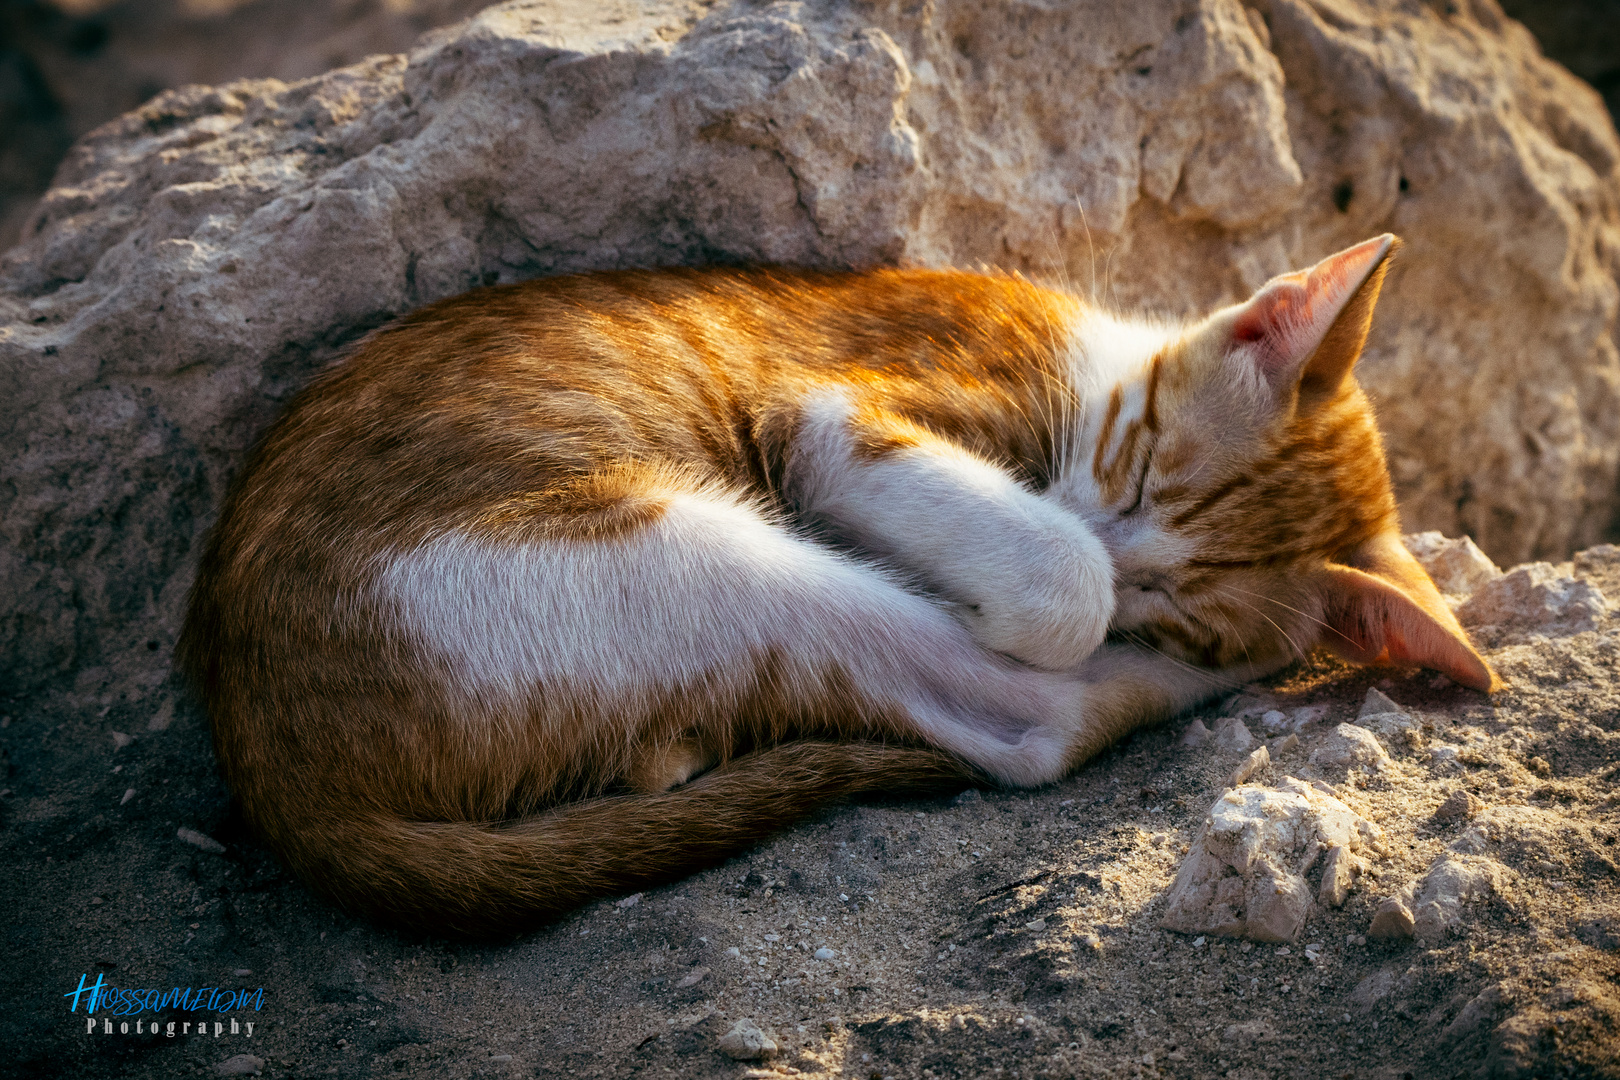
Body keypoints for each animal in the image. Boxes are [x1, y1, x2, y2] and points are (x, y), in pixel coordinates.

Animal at [174, 229, 1490, 939]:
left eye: (1183, 605)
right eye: (1130, 469)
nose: (1129, 577)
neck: (1085, 379)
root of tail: (271, 773)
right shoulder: (824, 413)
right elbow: (1061, 583)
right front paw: (1054, 580)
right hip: (675, 546)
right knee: (1024, 722)